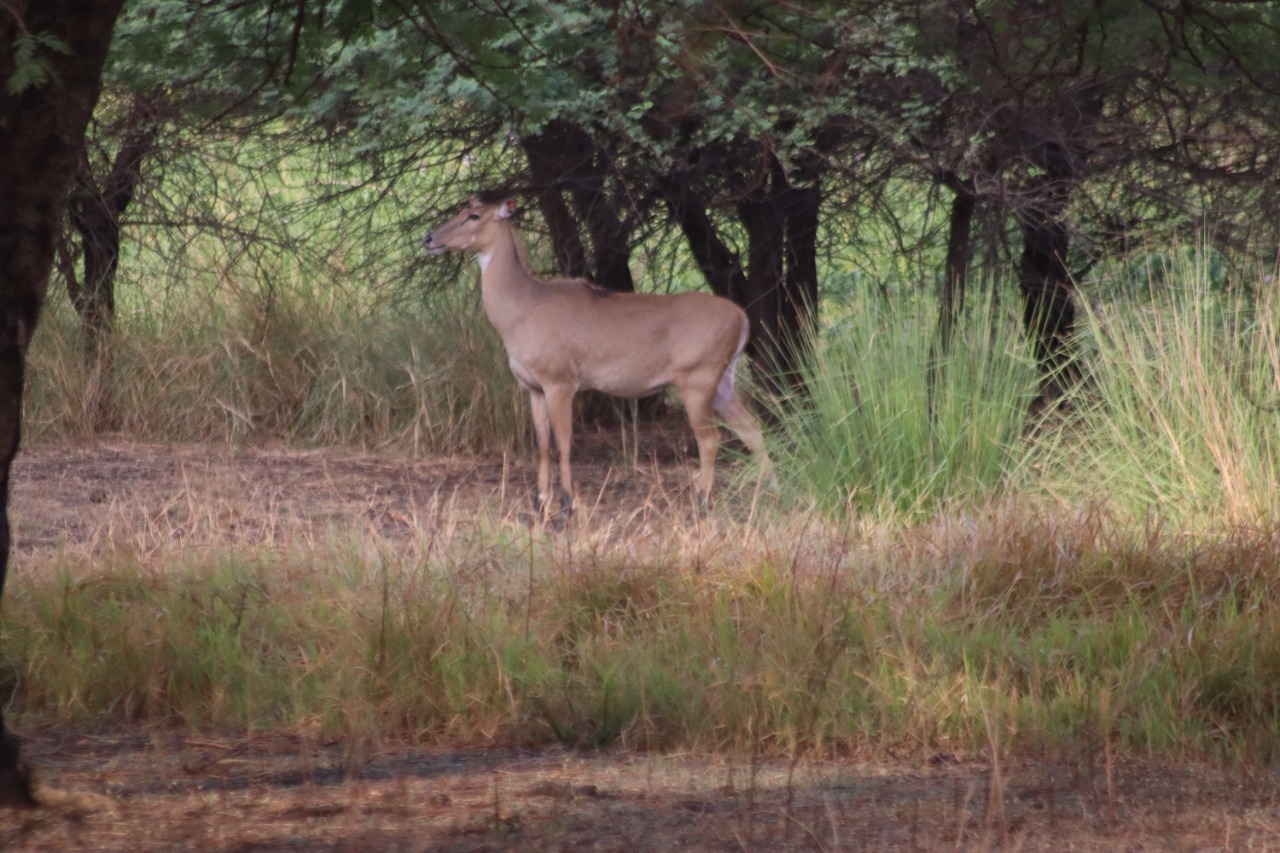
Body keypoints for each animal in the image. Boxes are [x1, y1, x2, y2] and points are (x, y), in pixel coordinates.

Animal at [424, 197, 773, 517]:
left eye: (473, 216)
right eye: (460, 210)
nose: (428, 238)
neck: (524, 308)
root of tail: (742, 318)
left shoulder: (560, 383)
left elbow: (563, 443)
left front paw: (565, 507)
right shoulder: (533, 388)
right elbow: (542, 446)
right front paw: (539, 504)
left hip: (697, 380)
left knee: (711, 439)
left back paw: (702, 504)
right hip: (723, 383)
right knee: (753, 429)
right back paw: (768, 491)